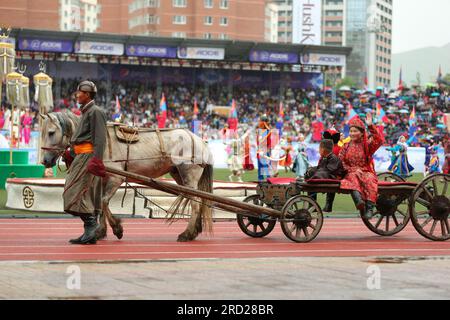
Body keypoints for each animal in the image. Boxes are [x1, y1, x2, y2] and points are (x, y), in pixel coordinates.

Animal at [40, 111, 214, 241]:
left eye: (51, 132)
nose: (45, 161)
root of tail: (200, 140)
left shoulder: (116, 178)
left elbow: (104, 202)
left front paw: (117, 228)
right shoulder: (102, 179)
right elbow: (100, 205)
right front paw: (100, 231)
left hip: (189, 174)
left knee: (196, 203)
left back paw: (187, 234)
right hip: (179, 174)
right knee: (198, 200)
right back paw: (195, 230)